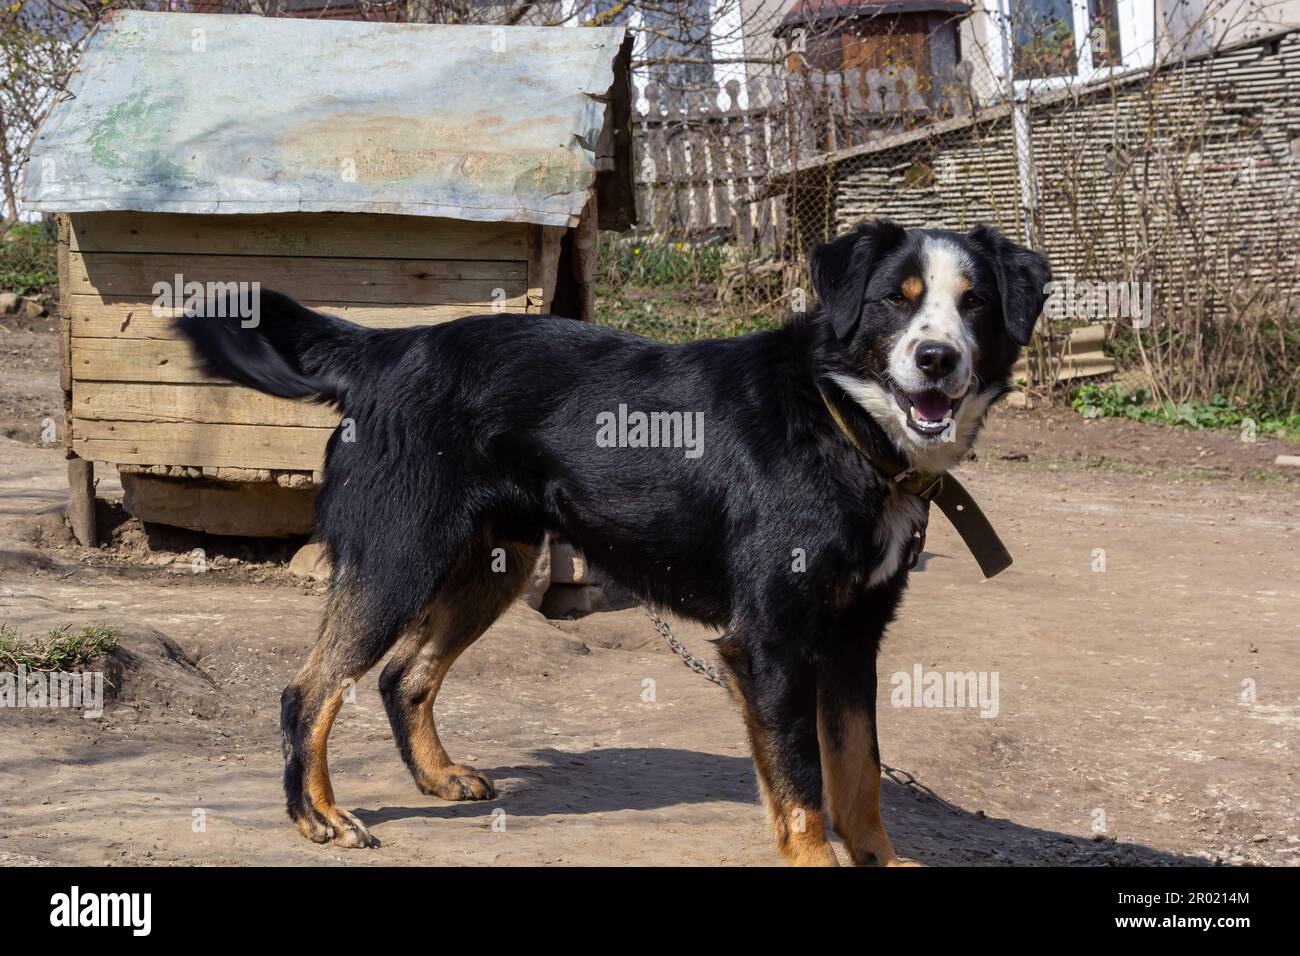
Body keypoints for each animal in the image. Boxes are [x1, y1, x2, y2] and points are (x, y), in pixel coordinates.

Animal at [178, 221, 1045, 863]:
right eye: (895, 302)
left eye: (973, 304)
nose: (937, 358)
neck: (840, 421)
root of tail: (386, 348)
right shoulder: (772, 644)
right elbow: (803, 793)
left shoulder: (852, 639)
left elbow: (858, 779)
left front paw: (882, 861)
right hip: (400, 557)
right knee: (311, 688)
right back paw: (317, 816)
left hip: (494, 564)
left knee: (403, 676)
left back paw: (436, 776)